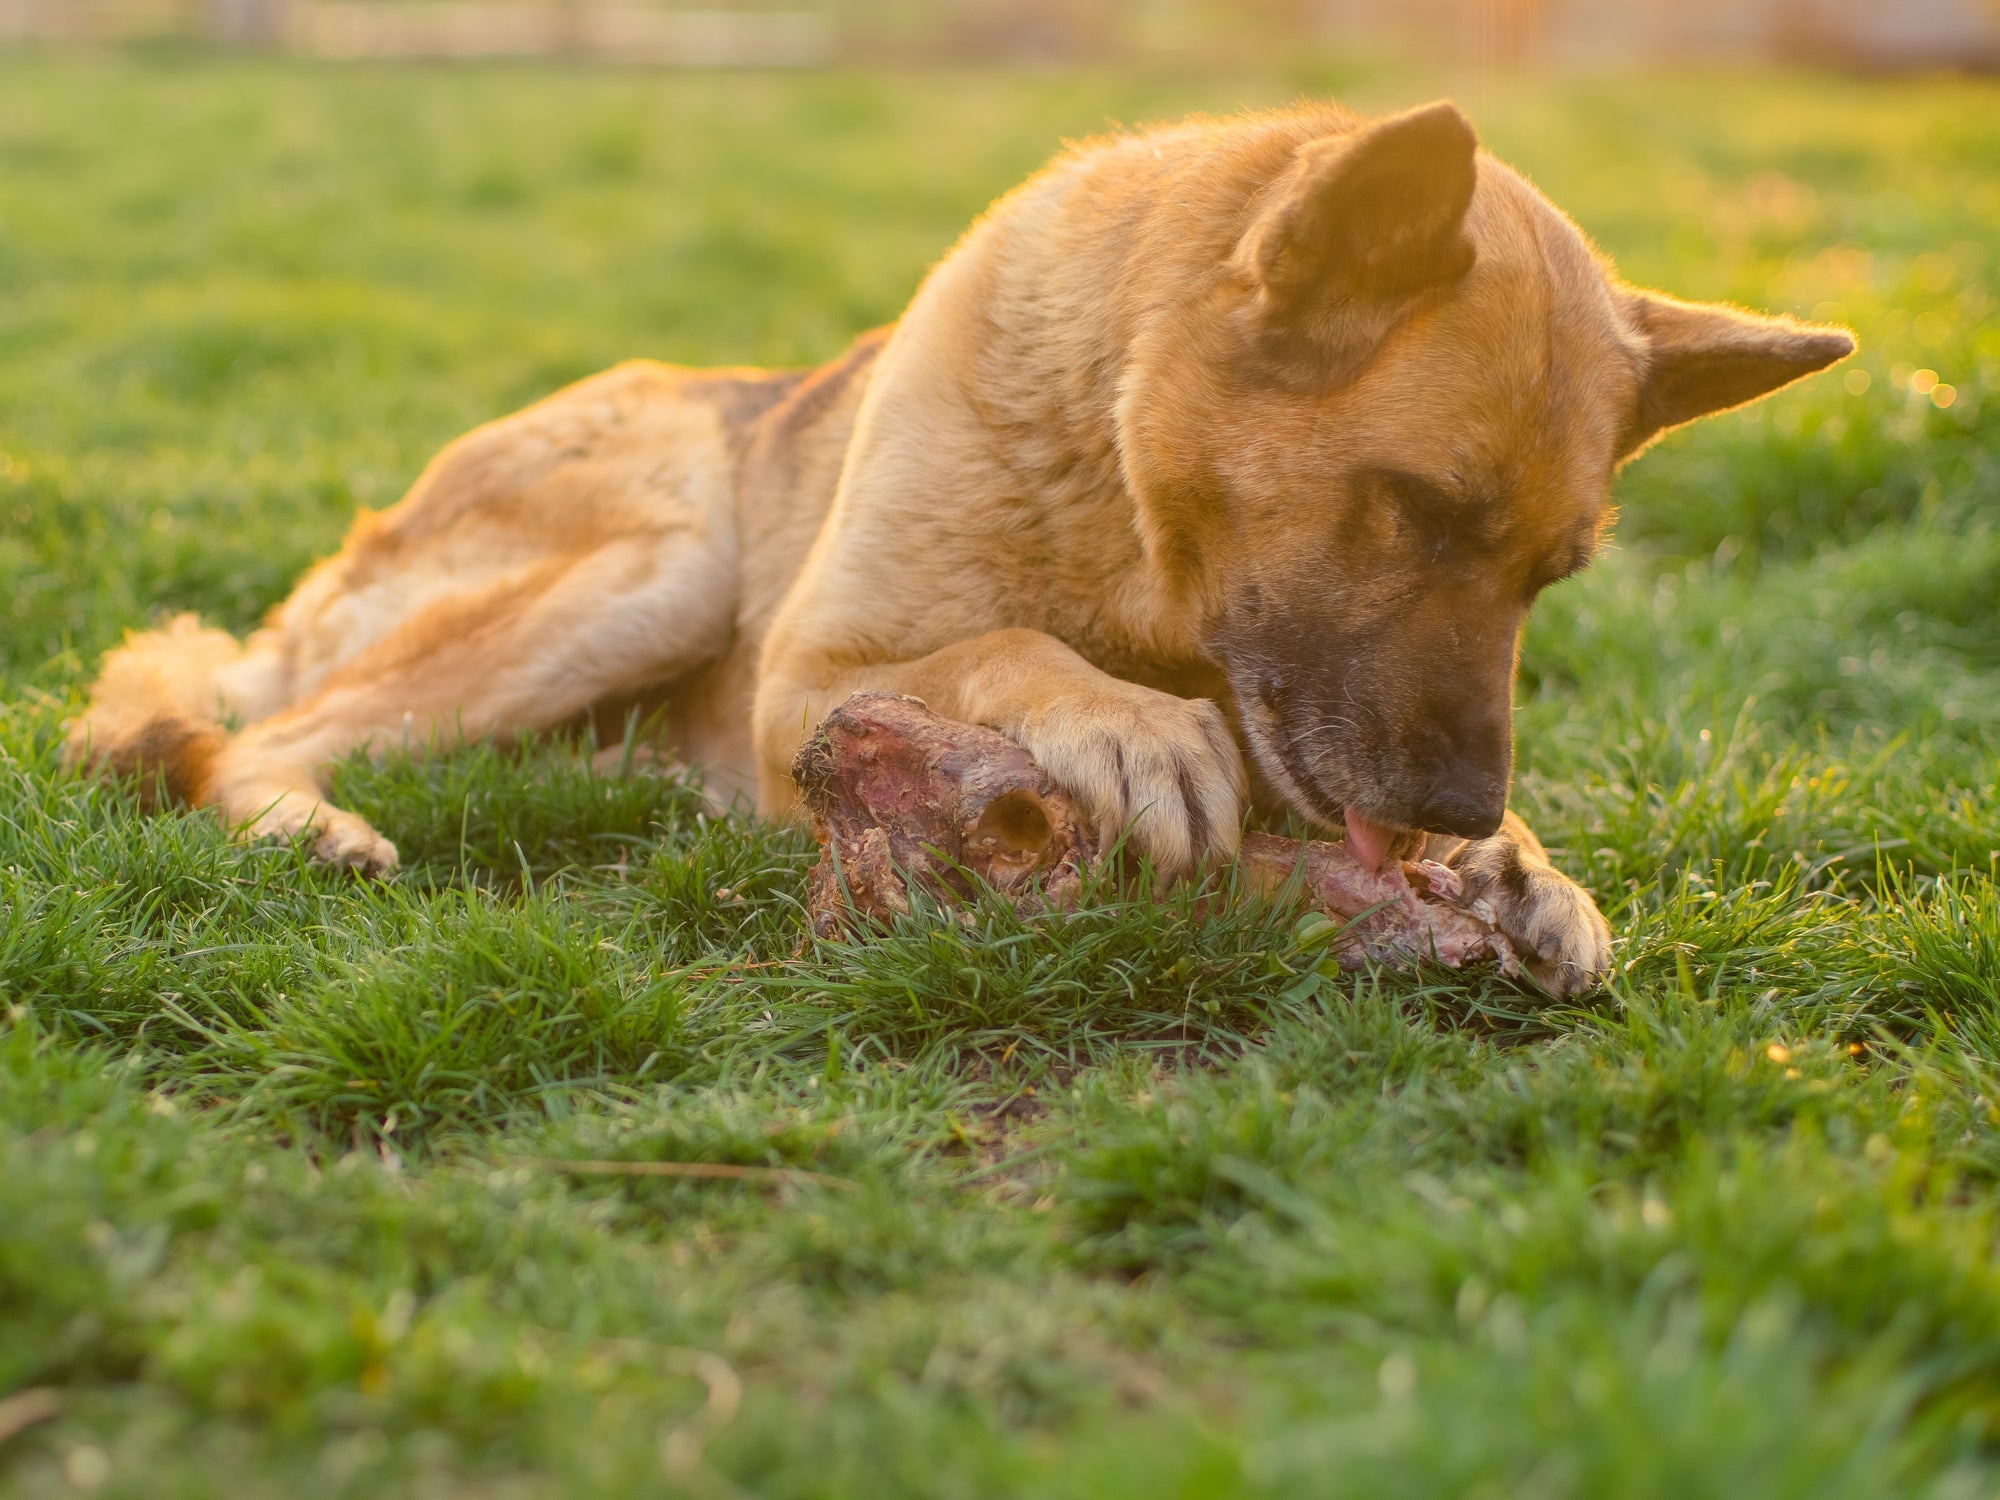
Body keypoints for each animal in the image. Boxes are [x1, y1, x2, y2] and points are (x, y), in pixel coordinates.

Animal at [74, 103, 1856, 1000]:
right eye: (1412, 508)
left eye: (1551, 576)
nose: (1461, 813)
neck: (1128, 510)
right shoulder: (812, 675)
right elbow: (1002, 644)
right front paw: (1131, 726)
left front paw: (1524, 867)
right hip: (665, 565)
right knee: (251, 739)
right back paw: (306, 823)